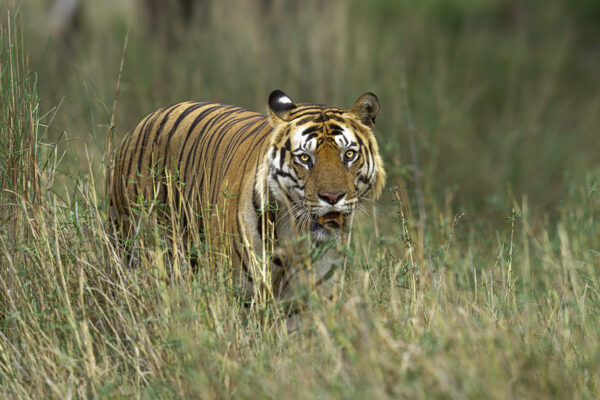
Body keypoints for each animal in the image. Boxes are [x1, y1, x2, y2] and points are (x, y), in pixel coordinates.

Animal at [109, 89, 384, 304]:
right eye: (305, 158)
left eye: (349, 154)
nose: (332, 197)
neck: (296, 235)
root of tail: (142, 123)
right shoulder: (238, 291)